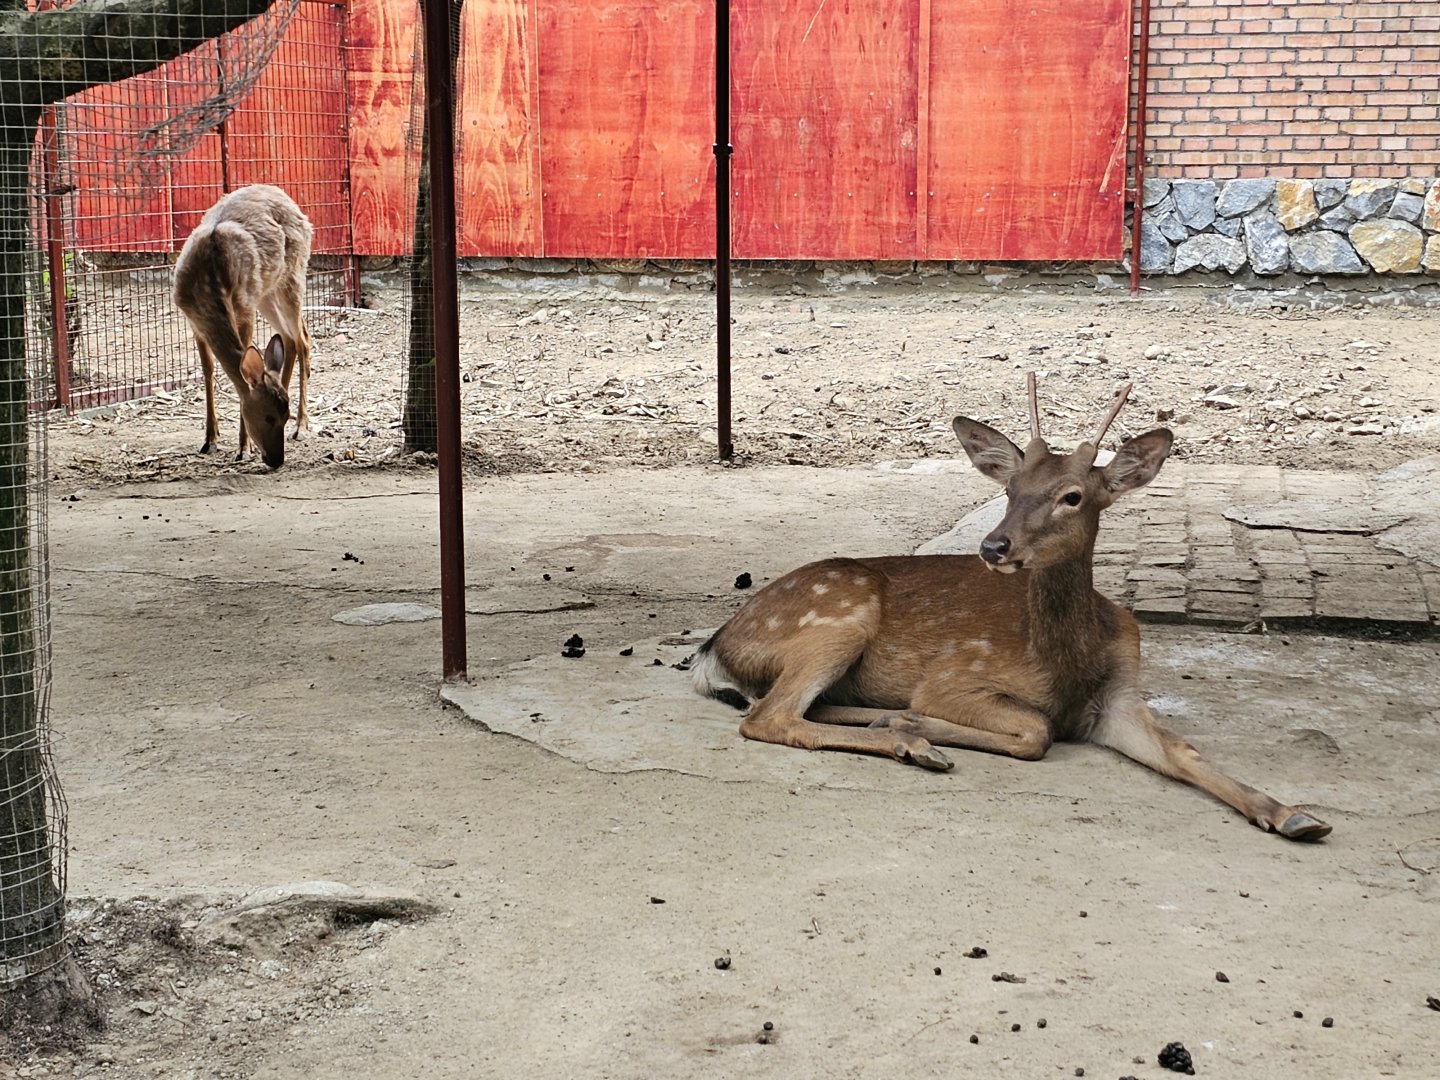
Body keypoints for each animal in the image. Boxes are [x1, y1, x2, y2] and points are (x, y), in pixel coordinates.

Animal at [173, 184, 314, 469]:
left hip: (292, 276)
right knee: (289, 338)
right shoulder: (192, 320)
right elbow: (208, 370)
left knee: (303, 339)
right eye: (270, 417)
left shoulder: (245, 307)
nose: (276, 460)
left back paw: (303, 427)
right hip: (267, 292)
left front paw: (243, 448)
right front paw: (210, 440)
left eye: (284, 417)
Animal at [690, 376, 1332, 842]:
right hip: (838, 616)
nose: (993, 546)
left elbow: (1182, 750)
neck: (1065, 664)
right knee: (768, 717)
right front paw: (918, 723)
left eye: (1072, 496)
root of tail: (715, 646)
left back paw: (891, 724)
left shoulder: (1121, 696)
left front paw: (1293, 814)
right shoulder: (954, 676)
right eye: (1008, 489)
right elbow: (1036, 730)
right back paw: (910, 740)